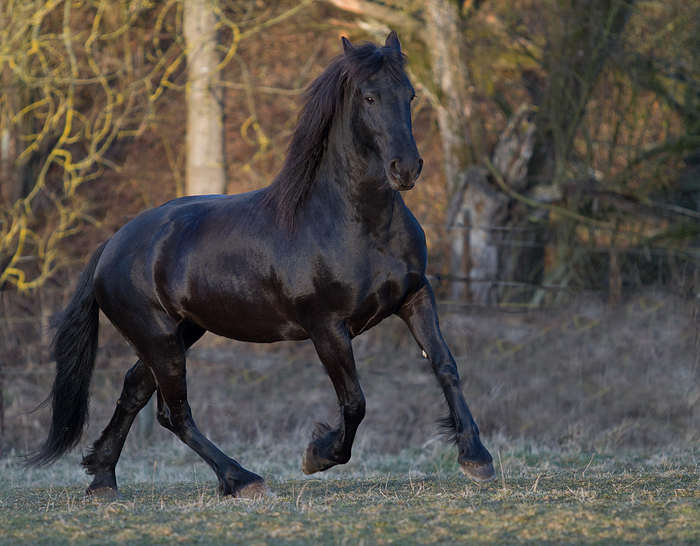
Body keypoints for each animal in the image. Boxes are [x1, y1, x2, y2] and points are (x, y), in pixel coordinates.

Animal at [27, 31, 494, 496]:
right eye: (369, 96)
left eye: (410, 94)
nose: (406, 168)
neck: (356, 224)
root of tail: (112, 244)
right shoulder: (327, 327)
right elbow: (354, 402)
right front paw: (317, 456)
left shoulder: (415, 296)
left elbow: (446, 367)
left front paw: (476, 458)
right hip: (159, 339)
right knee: (174, 413)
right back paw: (242, 479)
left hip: (178, 333)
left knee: (135, 392)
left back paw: (104, 478)